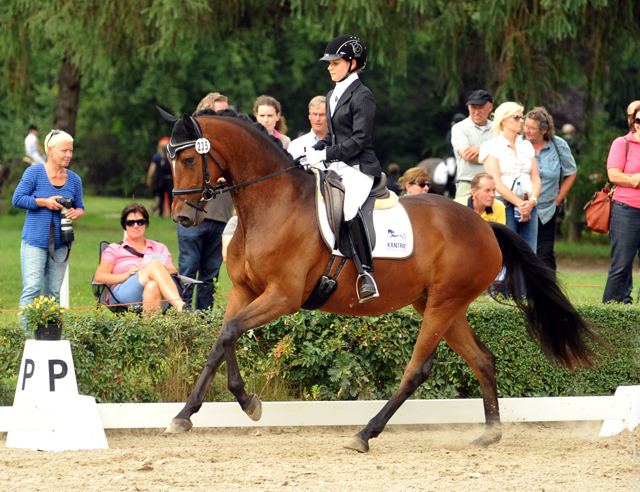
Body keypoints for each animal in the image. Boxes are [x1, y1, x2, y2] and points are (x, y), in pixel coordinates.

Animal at [156, 108, 596, 454]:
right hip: (441, 304)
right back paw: (489, 433)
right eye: (171, 160)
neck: (269, 203)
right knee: (483, 360)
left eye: (190, 160)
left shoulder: (283, 296)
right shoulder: (244, 291)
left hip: (444, 303)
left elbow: (230, 332)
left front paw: (246, 403)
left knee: (417, 369)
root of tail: (485, 226)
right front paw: (189, 414)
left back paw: (365, 433)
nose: (183, 217)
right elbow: (222, 340)